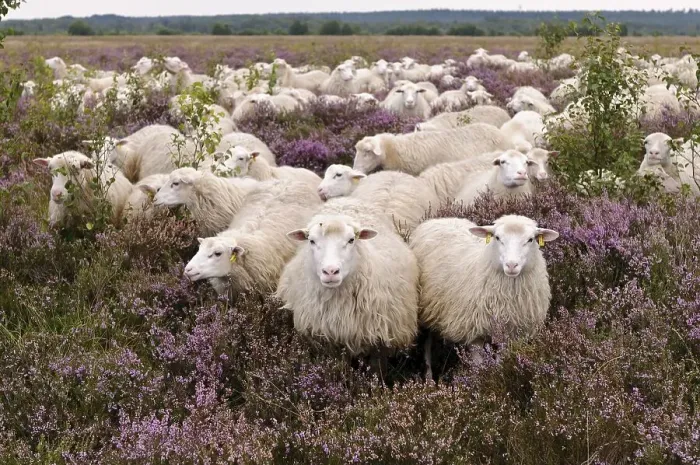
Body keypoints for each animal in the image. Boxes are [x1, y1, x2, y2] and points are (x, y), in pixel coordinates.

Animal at [409, 214, 559, 378]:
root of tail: (441, 219)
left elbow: (501, 362)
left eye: (530, 239)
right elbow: (479, 365)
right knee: (427, 343)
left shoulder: (508, 335)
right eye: (497, 237)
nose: (511, 265)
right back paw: (429, 378)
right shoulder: (474, 332)